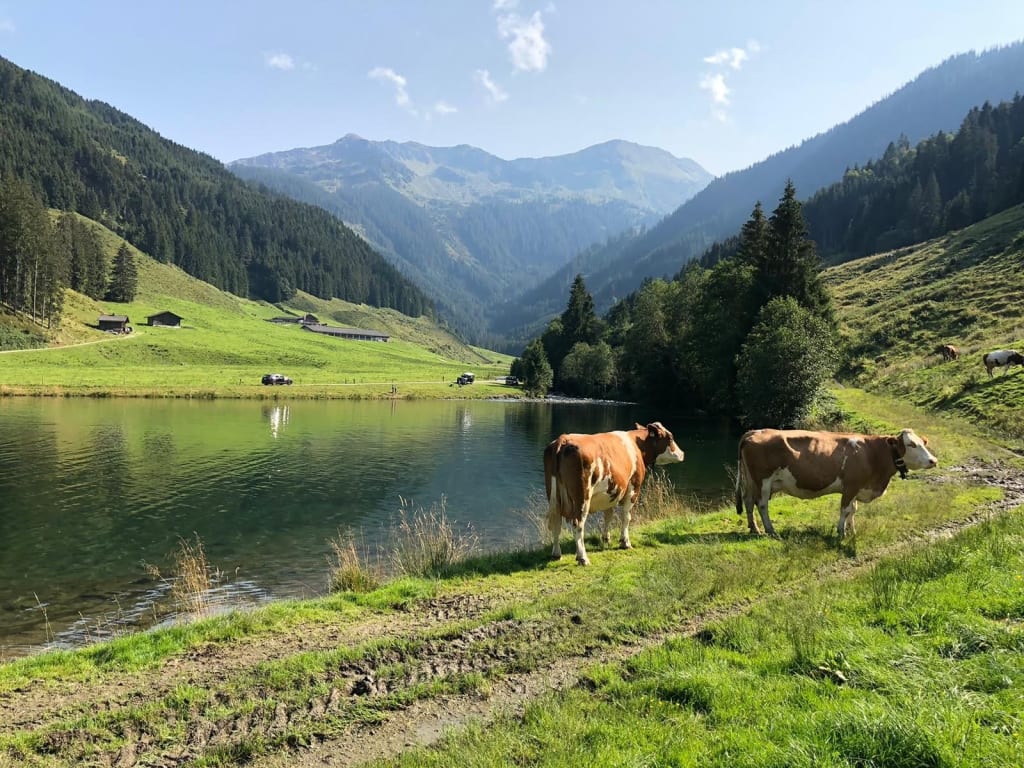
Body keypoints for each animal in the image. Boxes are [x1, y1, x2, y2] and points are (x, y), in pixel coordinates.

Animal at [544, 422, 685, 565]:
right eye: (670, 437)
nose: (682, 453)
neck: (637, 446)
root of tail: (563, 439)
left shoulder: (611, 493)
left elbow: (608, 515)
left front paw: (606, 539)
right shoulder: (633, 488)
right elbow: (626, 517)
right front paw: (625, 542)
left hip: (554, 496)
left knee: (557, 522)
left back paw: (556, 553)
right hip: (582, 497)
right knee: (578, 524)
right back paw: (583, 558)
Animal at [735, 428, 938, 539]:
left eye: (923, 442)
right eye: (911, 444)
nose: (933, 460)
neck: (872, 453)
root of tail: (756, 431)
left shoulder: (857, 487)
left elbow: (853, 510)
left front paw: (852, 530)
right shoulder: (851, 485)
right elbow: (845, 510)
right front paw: (841, 532)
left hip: (752, 481)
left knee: (748, 501)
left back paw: (754, 529)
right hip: (763, 481)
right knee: (761, 504)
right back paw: (770, 530)